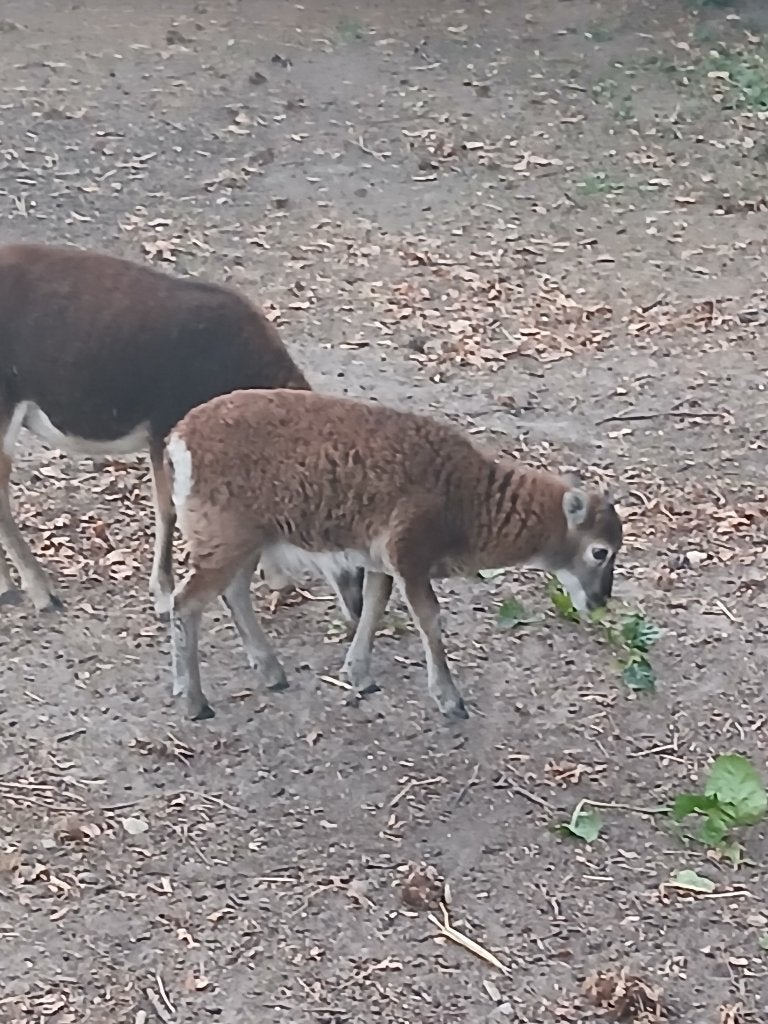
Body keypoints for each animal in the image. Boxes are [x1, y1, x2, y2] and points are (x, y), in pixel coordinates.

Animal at [0, 242, 363, 624]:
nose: (358, 606)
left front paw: (278, 578)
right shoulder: (164, 432)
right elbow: (169, 511)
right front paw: (163, 596)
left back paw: (8, 587)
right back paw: (42, 593)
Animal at [165, 387, 624, 722]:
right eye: (600, 551)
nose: (601, 600)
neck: (467, 500)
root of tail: (181, 439)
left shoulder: (379, 561)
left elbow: (374, 605)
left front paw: (359, 676)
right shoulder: (409, 556)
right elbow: (429, 618)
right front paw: (450, 701)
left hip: (246, 543)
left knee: (233, 592)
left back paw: (272, 674)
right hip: (225, 541)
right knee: (185, 602)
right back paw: (195, 703)